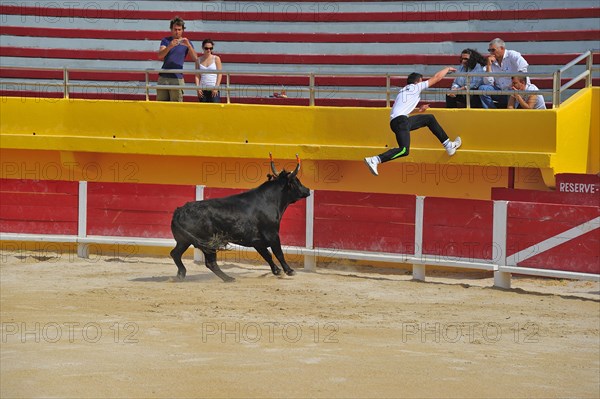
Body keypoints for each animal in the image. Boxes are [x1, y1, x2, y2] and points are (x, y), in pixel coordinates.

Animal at [169, 155, 310, 282]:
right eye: (296, 181)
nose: (308, 190)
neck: (269, 200)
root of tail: (179, 211)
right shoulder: (273, 234)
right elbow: (278, 252)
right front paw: (289, 271)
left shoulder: (257, 240)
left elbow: (267, 255)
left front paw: (277, 271)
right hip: (207, 242)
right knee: (210, 262)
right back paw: (228, 278)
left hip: (184, 241)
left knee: (175, 253)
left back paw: (181, 274)